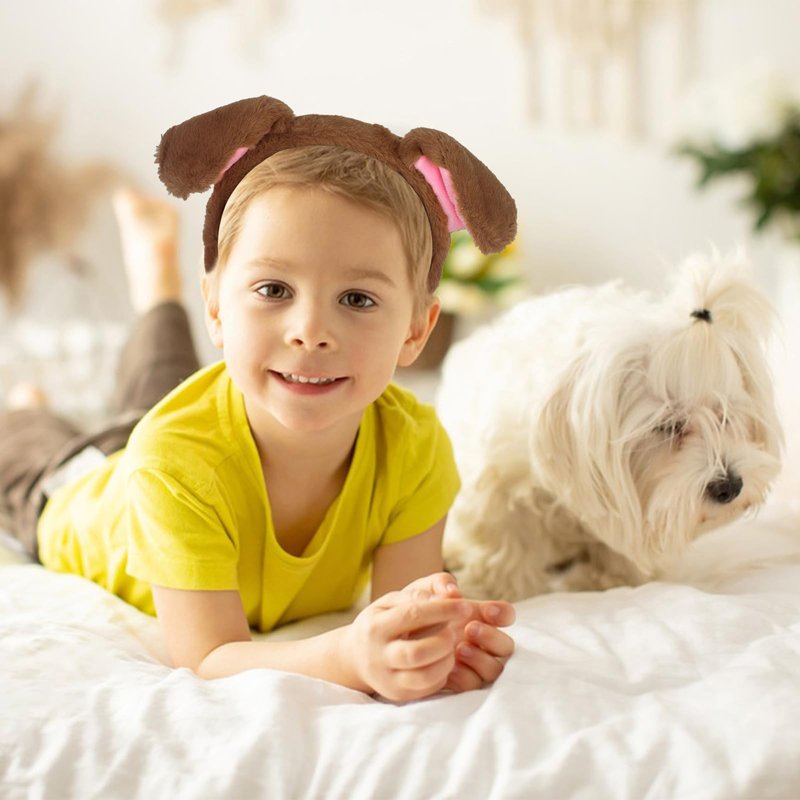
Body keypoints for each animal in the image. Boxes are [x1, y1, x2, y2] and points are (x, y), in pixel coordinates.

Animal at [437, 252, 783, 600]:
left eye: (724, 414)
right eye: (668, 425)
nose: (730, 487)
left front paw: (608, 579)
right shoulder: (499, 478)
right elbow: (507, 536)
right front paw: (500, 588)